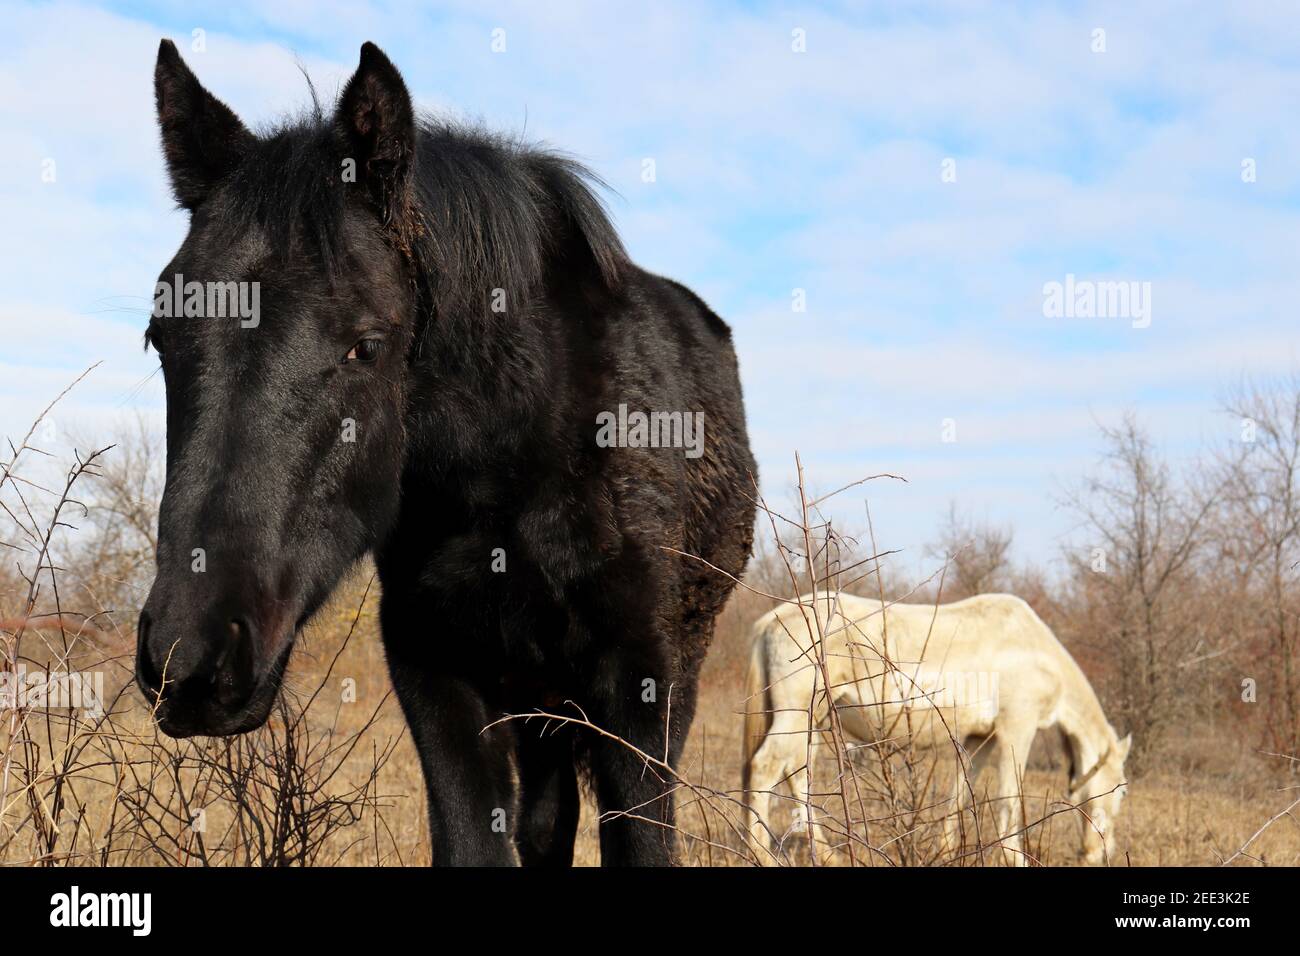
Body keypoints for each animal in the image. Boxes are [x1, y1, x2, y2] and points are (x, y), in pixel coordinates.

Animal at [743, 590, 1128, 868]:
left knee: (796, 773)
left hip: (815, 719)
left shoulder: (979, 738)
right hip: (798, 715)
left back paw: (824, 854)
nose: (1101, 853)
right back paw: (762, 853)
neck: (1033, 649)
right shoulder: (1017, 728)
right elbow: (1009, 797)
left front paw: (945, 850)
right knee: (766, 767)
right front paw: (1014, 858)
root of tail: (771, 619)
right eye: (1121, 791)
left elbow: (959, 791)